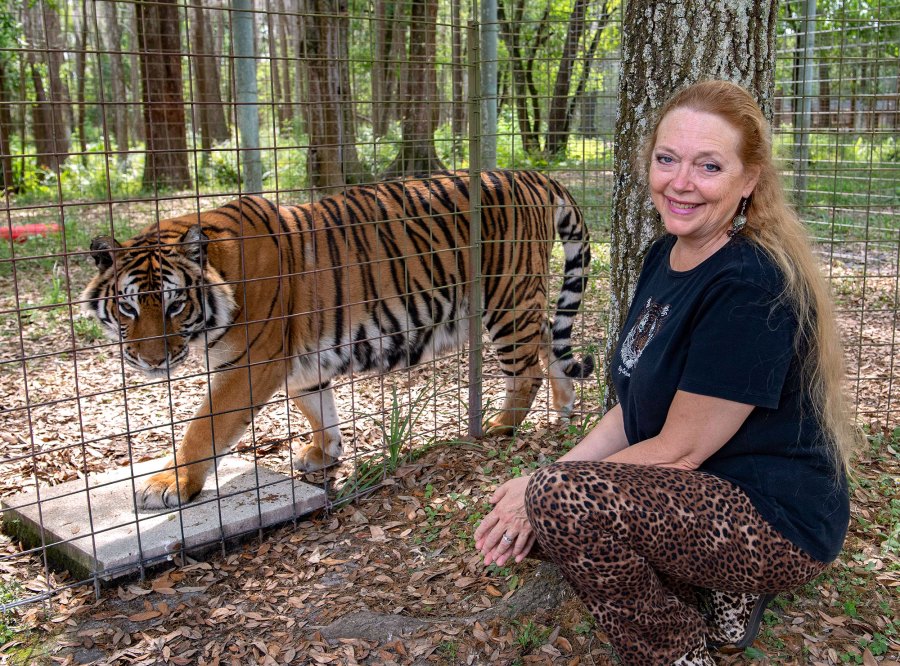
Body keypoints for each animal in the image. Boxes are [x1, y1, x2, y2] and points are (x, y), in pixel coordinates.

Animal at [81, 169, 596, 506]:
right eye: (128, 307)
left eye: (175, 305)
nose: (152, 361)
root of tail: (532, 174)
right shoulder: (297, 358)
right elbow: (316, 404)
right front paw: (325, 452)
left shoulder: (251, 363)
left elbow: (204, 427)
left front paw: (167, 484)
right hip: (520, 298)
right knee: (548, 338)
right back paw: (564, 405)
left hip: (506, 296)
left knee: (525, 370)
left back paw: (499, 427)